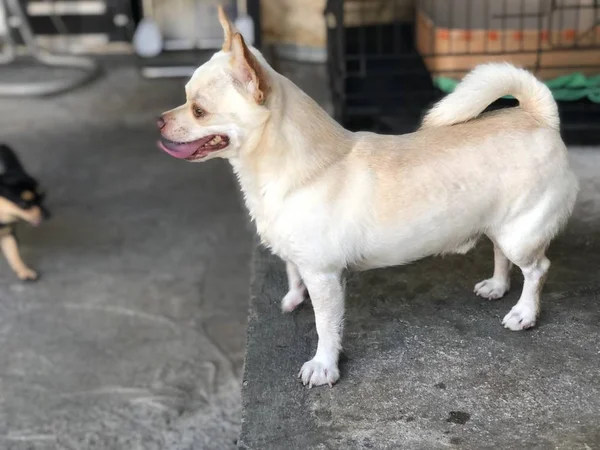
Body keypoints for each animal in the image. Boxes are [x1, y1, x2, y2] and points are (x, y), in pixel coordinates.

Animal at [0, 144, 49, 280]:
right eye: (25, 204)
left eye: (42, 198)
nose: (47, 215)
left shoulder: (7, 235)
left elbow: (14, 254)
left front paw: (24, 271)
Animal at [157, 7, 580, 386]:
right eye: (184, 98)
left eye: (198, 110)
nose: (159, 120)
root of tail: (538, 115)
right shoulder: (301, 259)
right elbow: (292, 272)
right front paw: (294, 298)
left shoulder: (324, 275)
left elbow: (326, 325)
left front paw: (324, 366)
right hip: (501, 225)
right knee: (500, 254)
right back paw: (497, 286)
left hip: (521, 233)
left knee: (537, 269)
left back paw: (524, 312)